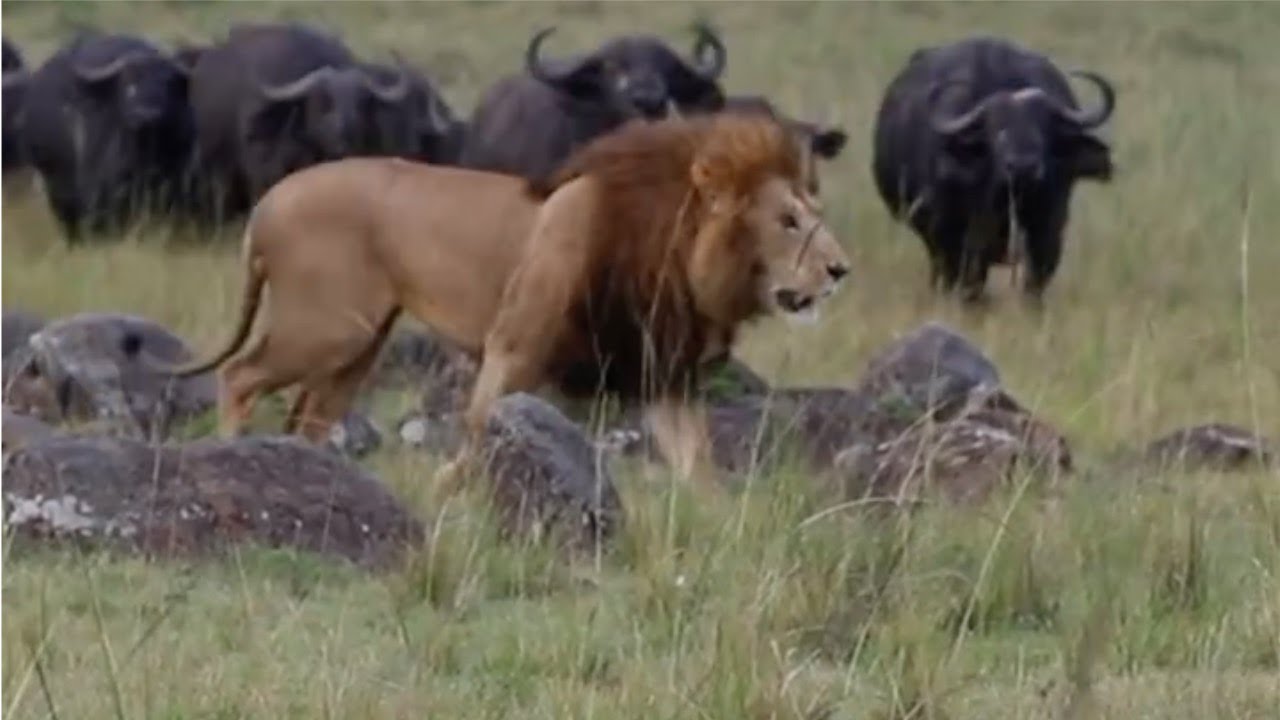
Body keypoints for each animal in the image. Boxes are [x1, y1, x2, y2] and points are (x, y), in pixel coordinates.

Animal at [175, 113, 851, 489]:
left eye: (815, 212)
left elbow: (698, 465)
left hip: (359, 345)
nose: (841, 269)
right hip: (331, 327)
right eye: (789, 220)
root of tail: (267, 202)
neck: (677, 249)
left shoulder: (664, 375)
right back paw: (231, 454)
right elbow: (477, 435)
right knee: (239, 376)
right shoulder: (513, 347)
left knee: (308, 418)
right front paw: (446, 492)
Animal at [872, 37, 1116, 302]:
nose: (1023, 166)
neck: (1003, 202)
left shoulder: (1048, 232)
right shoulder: (950, 236)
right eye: (997, 130)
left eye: (1043, 128)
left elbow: (1034, 284)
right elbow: (968, 282)